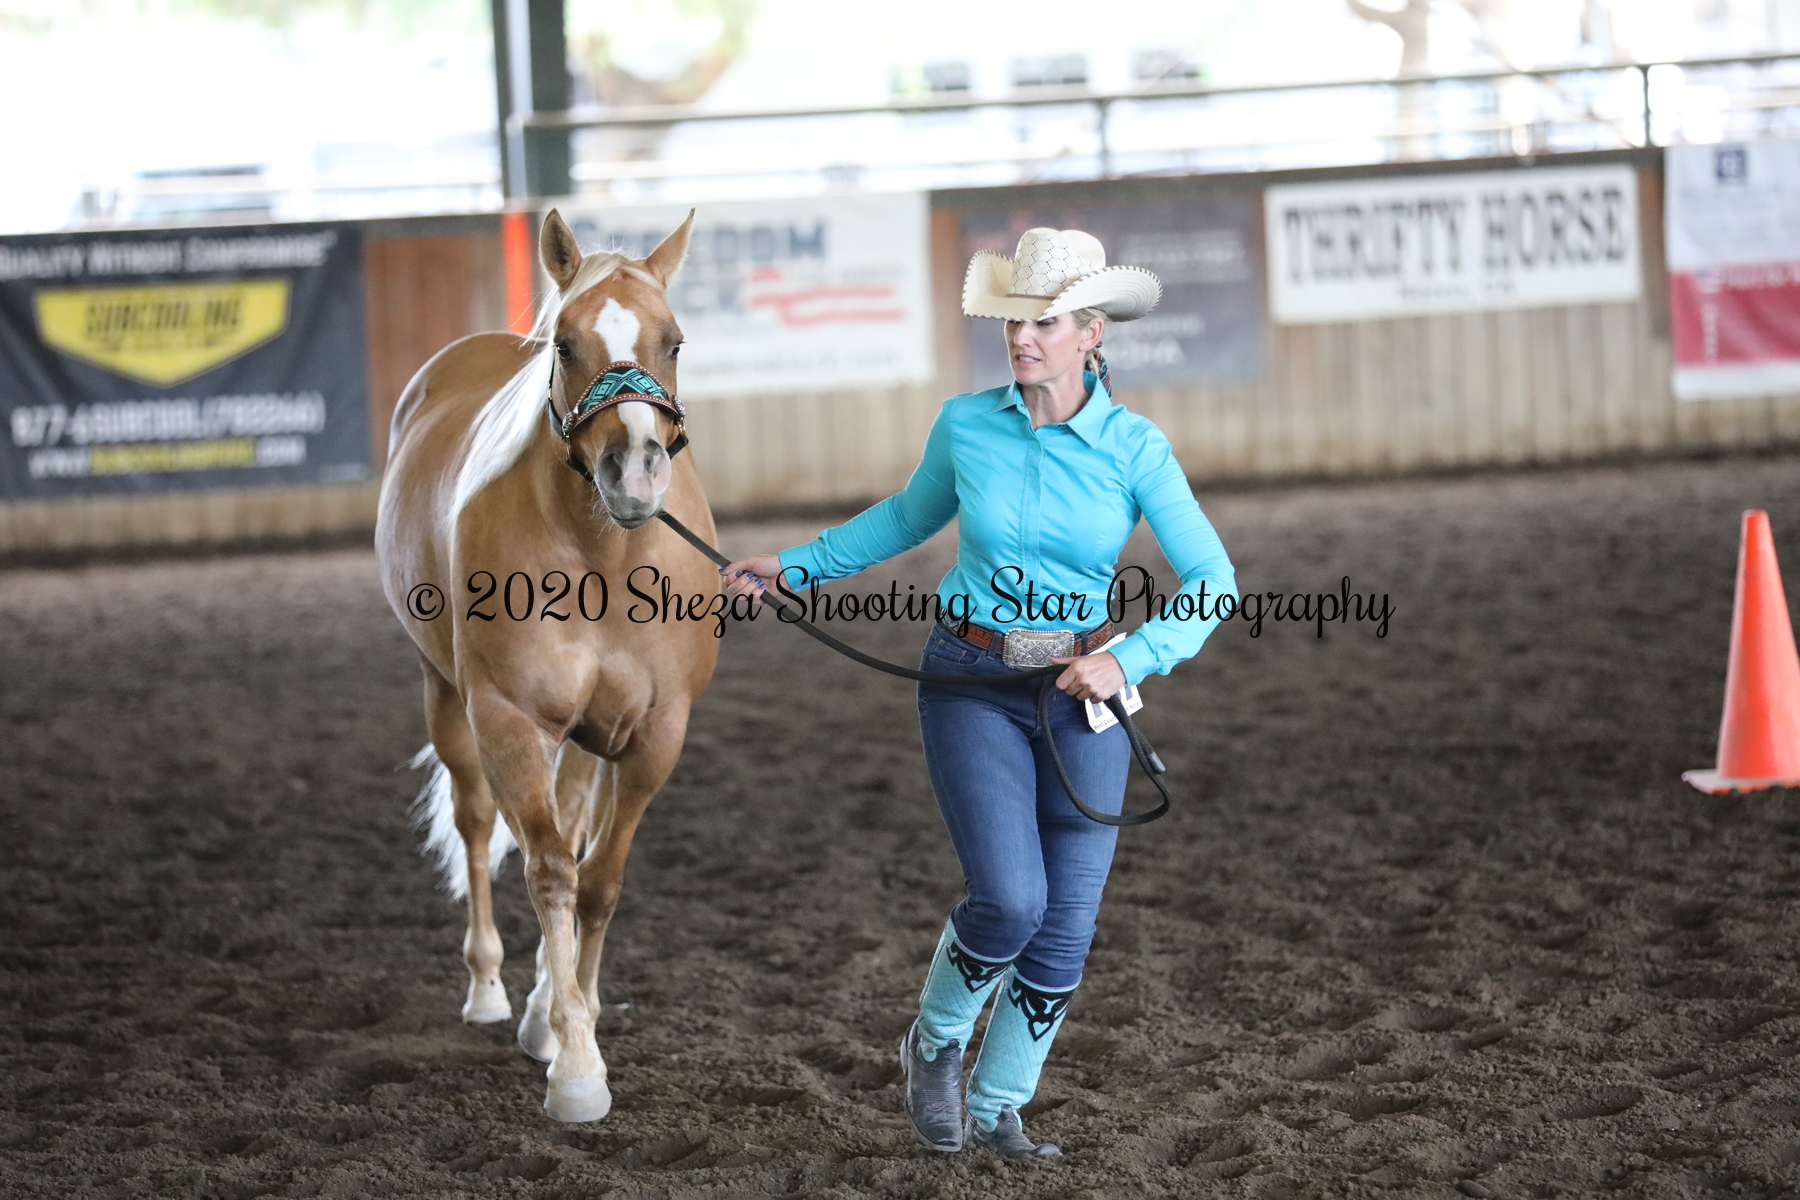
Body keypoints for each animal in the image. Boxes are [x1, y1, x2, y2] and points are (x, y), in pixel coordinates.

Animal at [375, 209, 720, 1122]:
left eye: (674, 341)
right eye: (566, 344)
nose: (634, 468)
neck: (603, 554)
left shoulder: (653, 734)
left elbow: (598, 879)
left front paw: (572, 1020)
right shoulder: (507, 719)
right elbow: (550, 873)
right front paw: (576, 1067)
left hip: (586, 739)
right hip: (448, 698)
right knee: (476, 823)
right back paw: (493, 989)